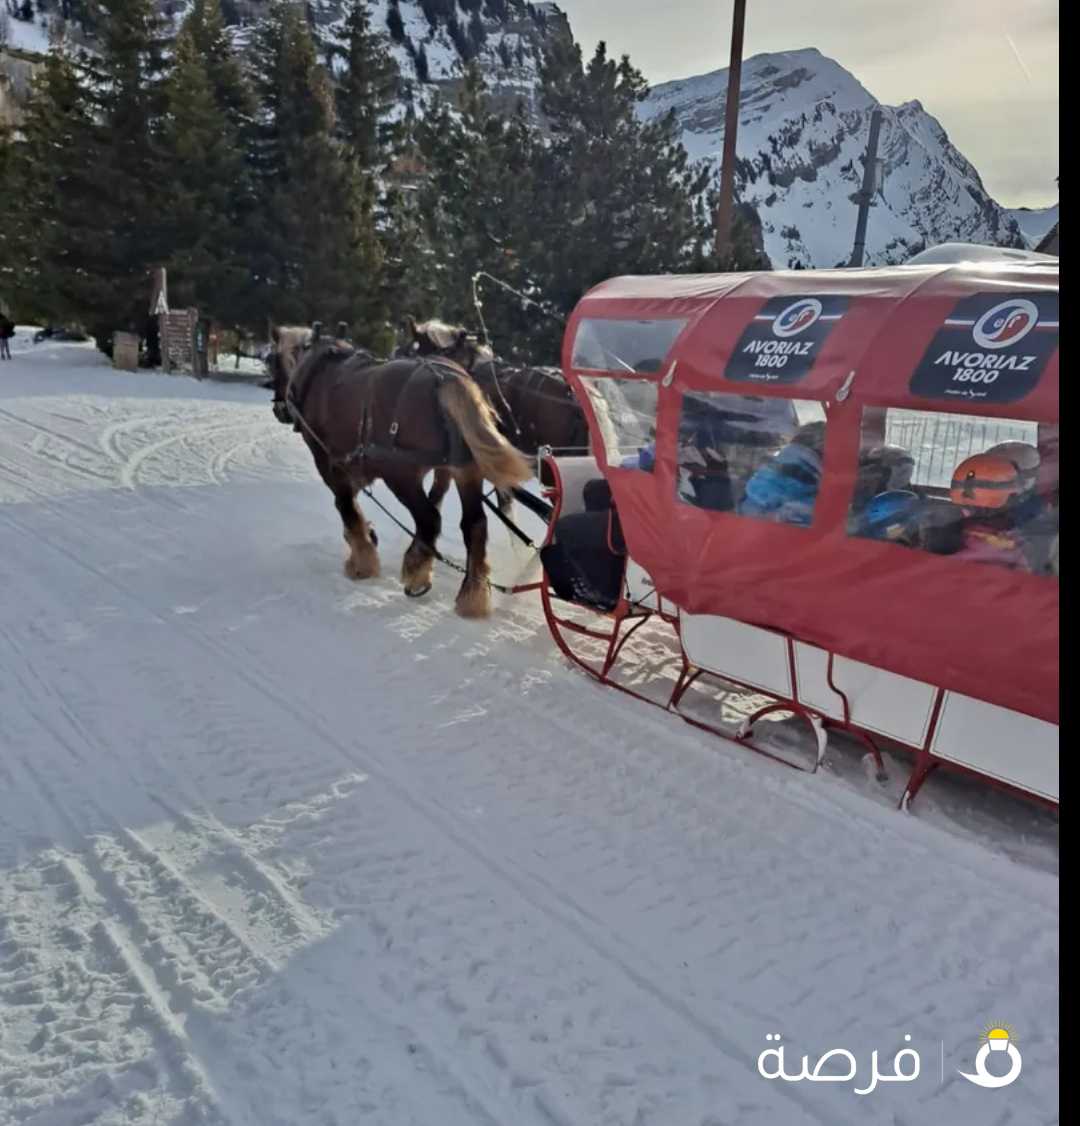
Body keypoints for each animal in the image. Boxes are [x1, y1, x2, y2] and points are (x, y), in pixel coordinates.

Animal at [265, 326, 527, 621]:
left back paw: (417, 572)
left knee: (429, 519)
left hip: (401, 475)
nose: (279, 408)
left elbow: (347, 509)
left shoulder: (331, 464)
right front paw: (369, 537)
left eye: (272, 360)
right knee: (474, 526)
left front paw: (363, 561)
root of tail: (446, 379)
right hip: (465, 471)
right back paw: (472, 596)